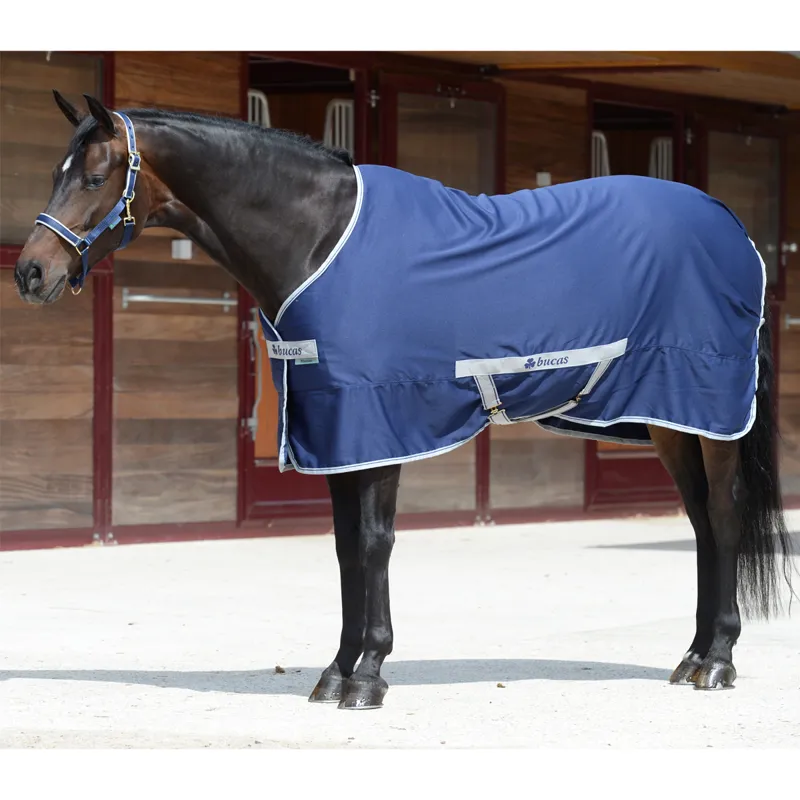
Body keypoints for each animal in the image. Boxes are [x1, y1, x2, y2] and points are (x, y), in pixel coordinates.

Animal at [13, 92, 794, 710]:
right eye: (54, 173)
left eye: (94, 175)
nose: (30, 272)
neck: (318, 236)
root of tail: (733, 226)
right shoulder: (335, 430)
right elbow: (343, 550)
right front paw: (336, 671)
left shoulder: (377, 423)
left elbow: (373, 543)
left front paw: (367, 675)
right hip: (669, 423)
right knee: (701, 525)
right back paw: (692, 656)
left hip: (710, 415)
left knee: (724, 519)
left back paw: (717, 661)